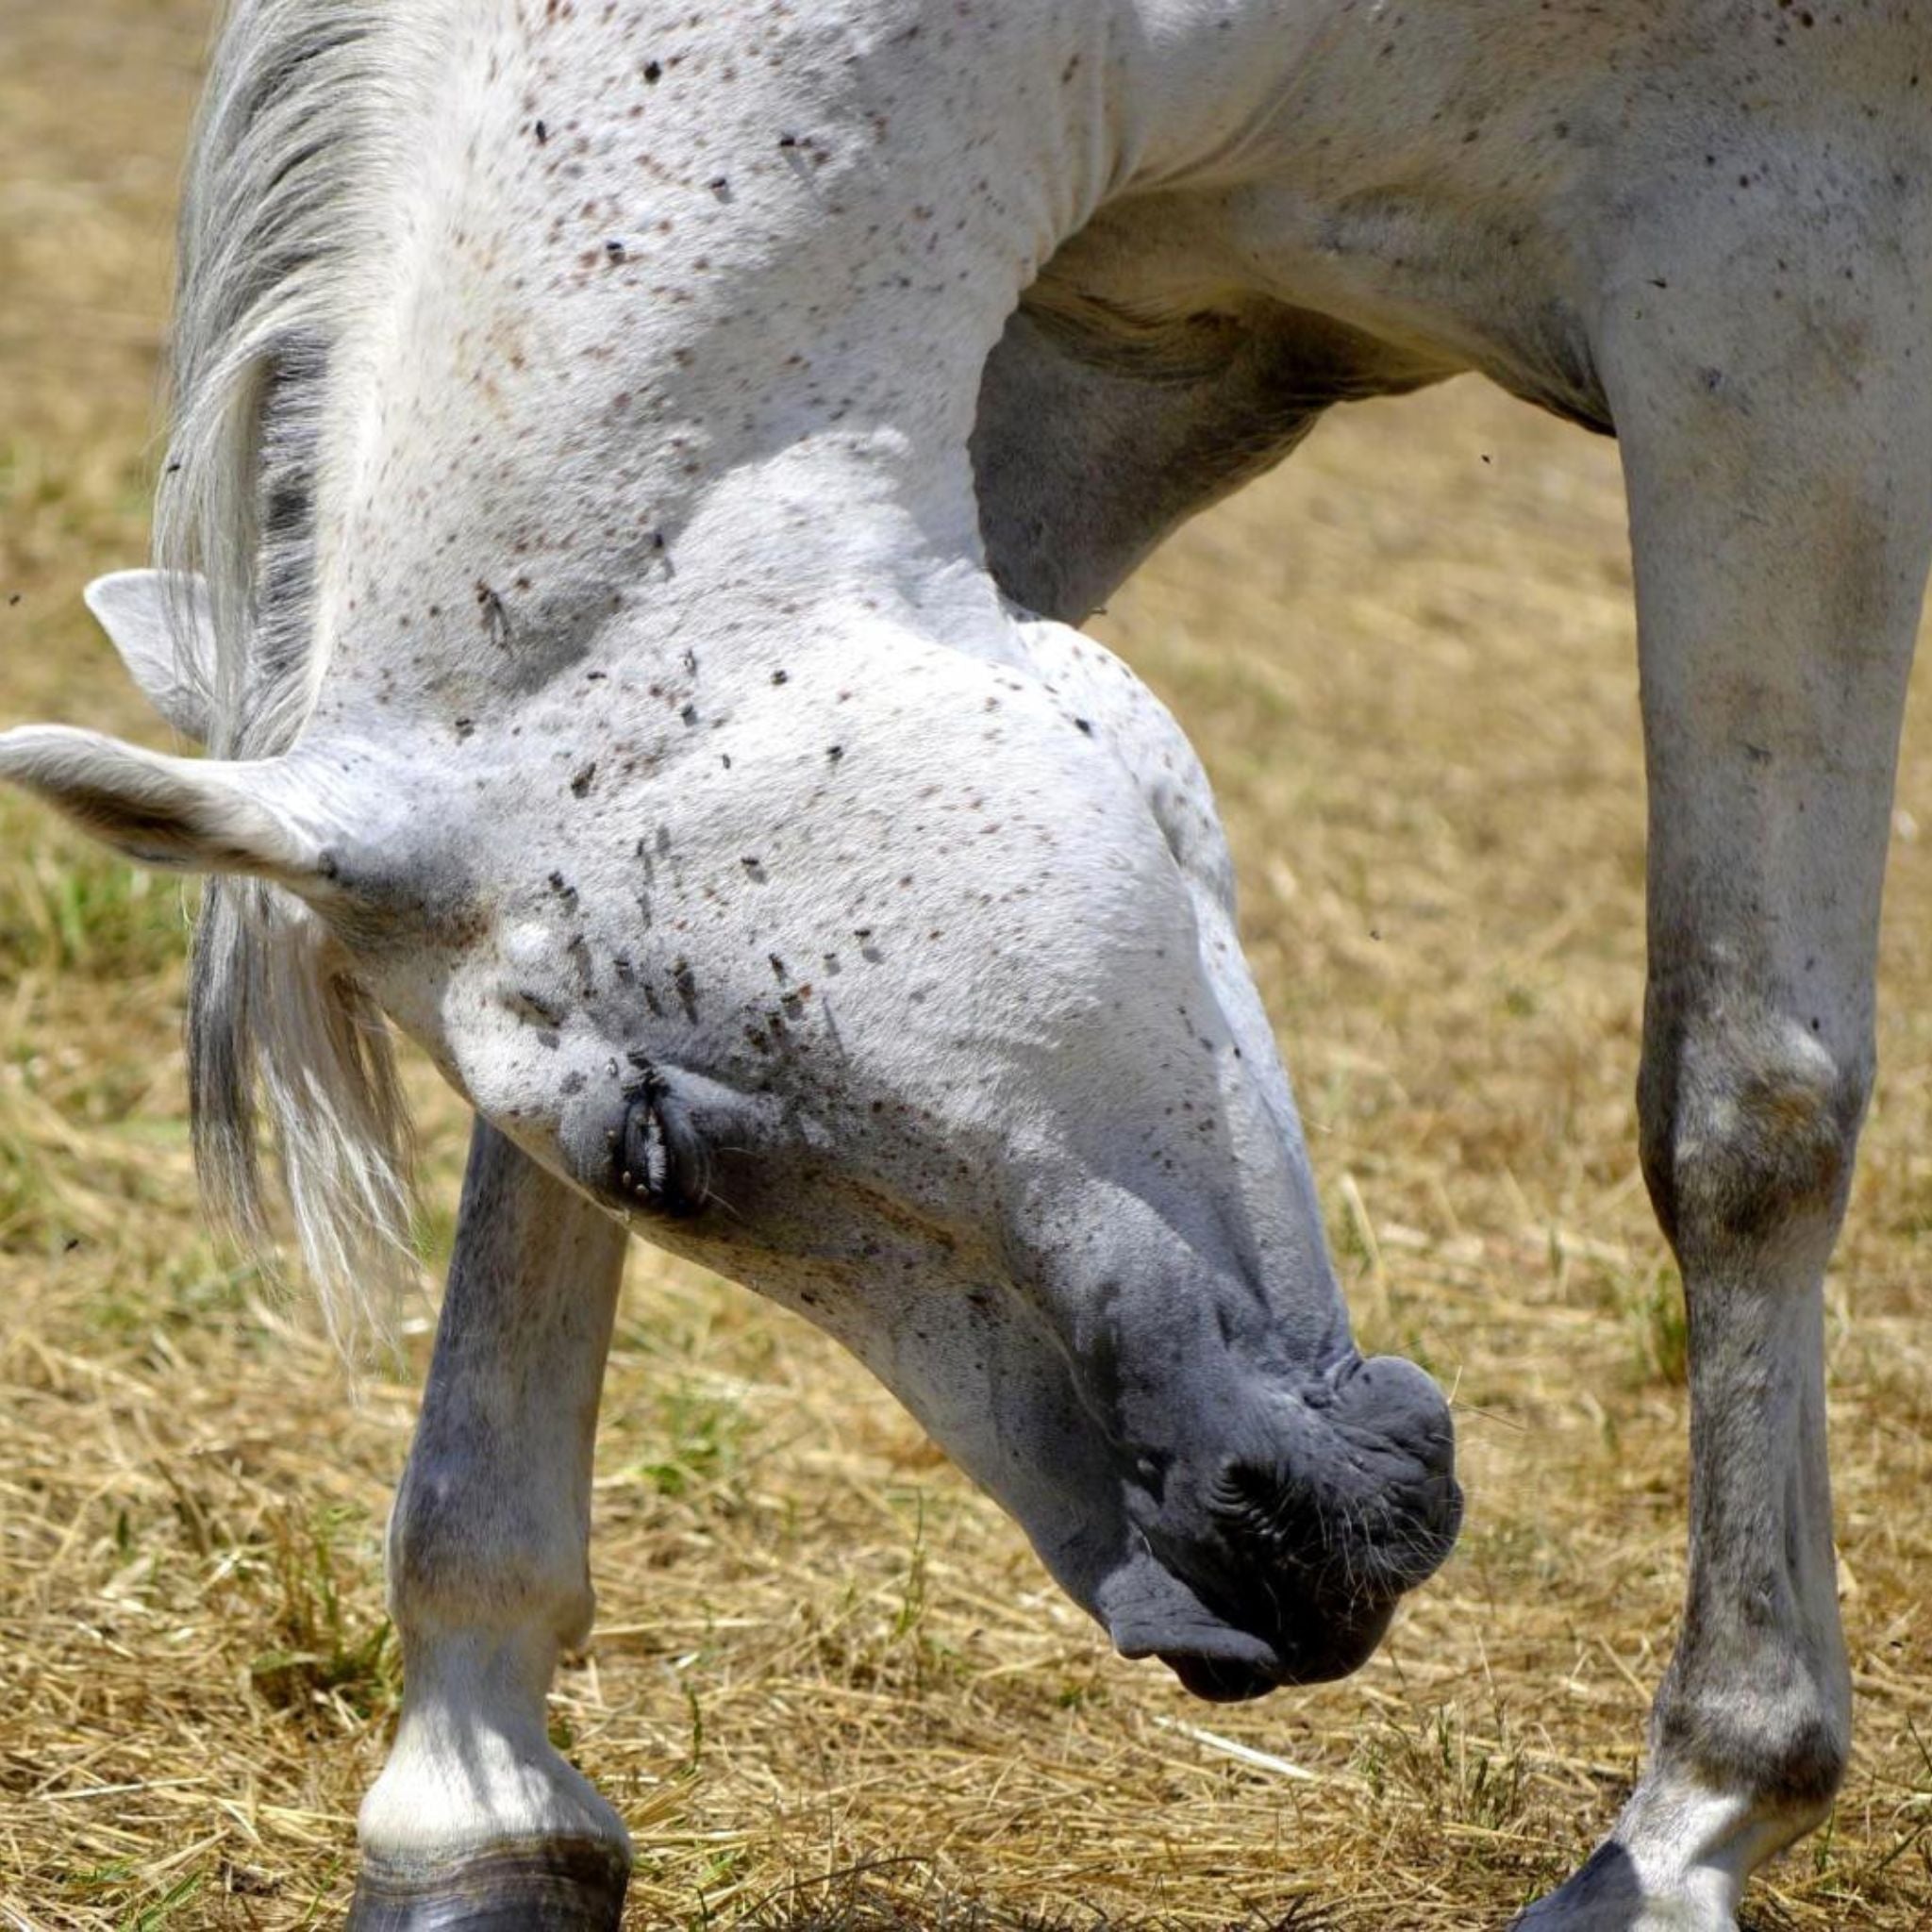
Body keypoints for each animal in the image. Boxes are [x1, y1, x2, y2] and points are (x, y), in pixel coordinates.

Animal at [8, 0, 1924, 1924]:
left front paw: (1693, 1822)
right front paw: (473, 1784)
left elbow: (1743, 1115)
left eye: (661, 1149)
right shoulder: (1102, 367)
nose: (1236, 1590)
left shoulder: (1778, 316)